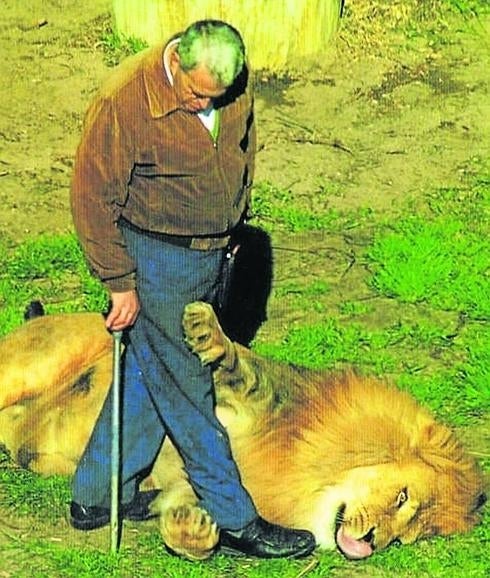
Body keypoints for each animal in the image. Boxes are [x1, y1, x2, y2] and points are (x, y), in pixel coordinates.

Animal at [0, 302, 484, 560]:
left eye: (406, 537)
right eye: (402, 498)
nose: (373, 543)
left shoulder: (187, 483)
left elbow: (189, 508)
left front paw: (192, 530)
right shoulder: (230, 396)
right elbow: (235, 365)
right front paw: (205, 329)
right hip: (24, 368)